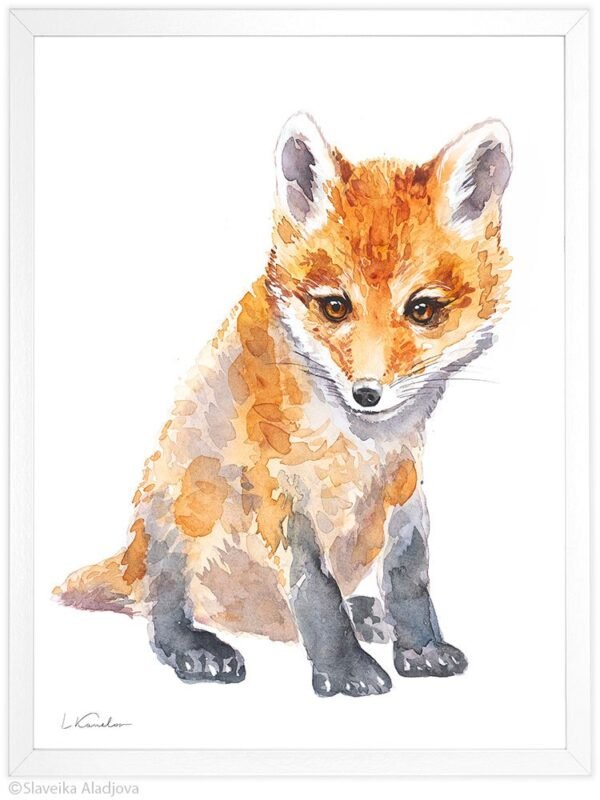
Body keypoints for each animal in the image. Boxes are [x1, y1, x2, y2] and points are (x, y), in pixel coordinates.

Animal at [55, 113, 512, 697]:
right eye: (335, 306)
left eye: (423, 310)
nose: (368, 393)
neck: (357, 445)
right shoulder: (275, 487)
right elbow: (315, 591)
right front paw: (344, 669)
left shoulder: (405, 480)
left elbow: (409, 577)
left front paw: (420, 646)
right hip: (180, 503)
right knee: (164, 610)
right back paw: (195, 647)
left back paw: (365, 614)